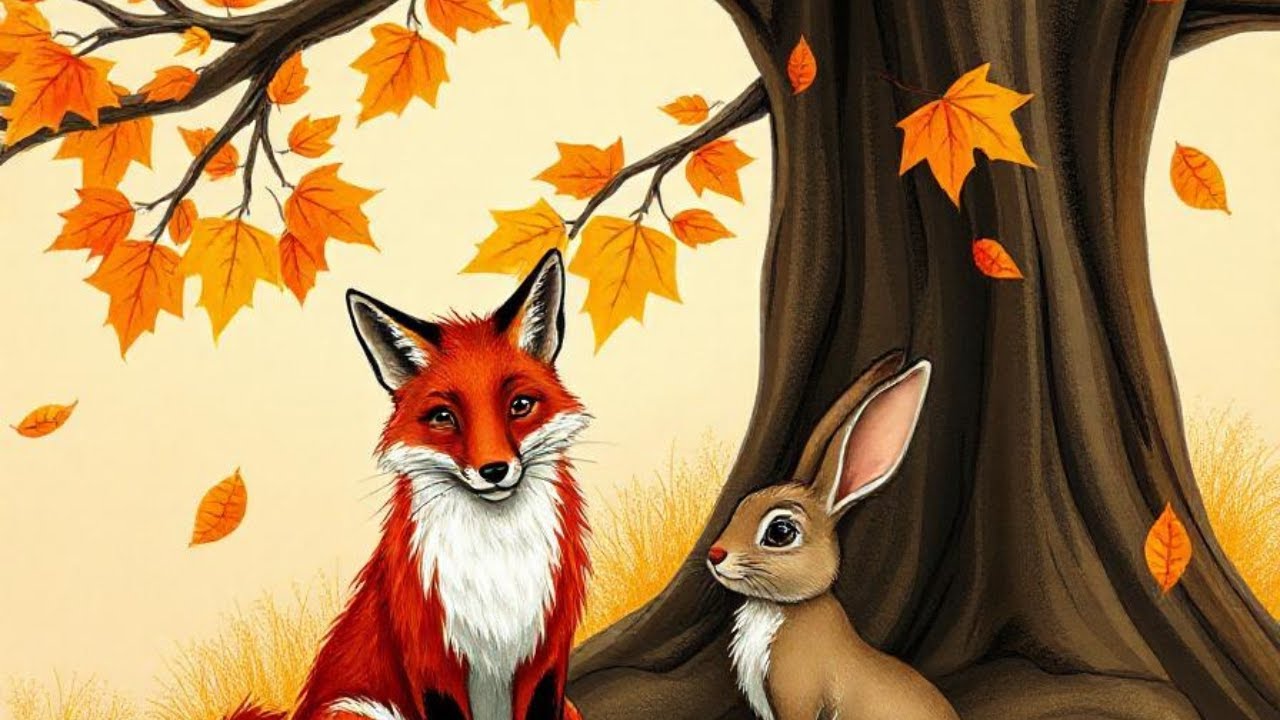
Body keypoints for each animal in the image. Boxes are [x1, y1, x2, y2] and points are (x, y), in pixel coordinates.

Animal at [227, 250, 590, 720]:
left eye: (520, 405)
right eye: (443, 417)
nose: (494, 470)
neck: (497, 565)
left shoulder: (545, 655)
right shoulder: (431, 662)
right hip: (360, 710)